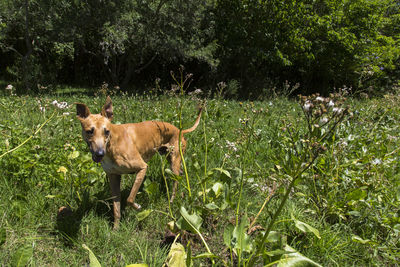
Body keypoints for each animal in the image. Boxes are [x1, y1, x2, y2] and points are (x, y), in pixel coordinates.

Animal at [75, 97, 202, 229]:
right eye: (89, 131)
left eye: (106, 131)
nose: (100, 153)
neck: (113, 142)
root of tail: (179, 130)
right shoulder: (113, 177)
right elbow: (116, 208)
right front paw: (116, 228)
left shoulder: (142, 168)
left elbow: (130, 199)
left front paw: (137, 207)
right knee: (180, 174)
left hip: (174, 162)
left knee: (175, 182)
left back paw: (172, 200)